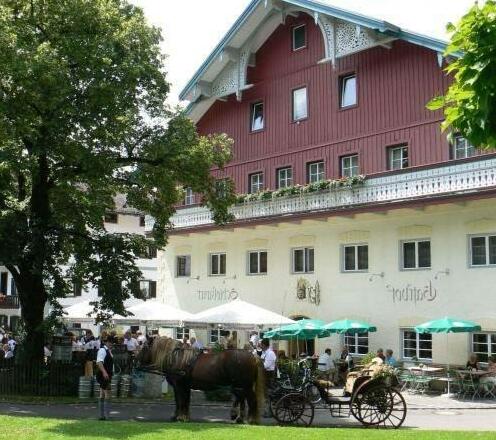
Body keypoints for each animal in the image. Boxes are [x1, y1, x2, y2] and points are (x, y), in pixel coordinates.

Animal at [138, 336, 266, 422]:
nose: (136, 358)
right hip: (240, 386)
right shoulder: (183, 386)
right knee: (242, 399)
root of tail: (252, 356)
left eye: (144, 347)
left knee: (251, 400)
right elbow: (182, 401)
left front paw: (181, 417)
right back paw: (239, 418)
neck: (177, 358)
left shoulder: (179, 385)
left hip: (244, 386)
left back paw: (251, 419)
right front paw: (181, 416)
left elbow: (181, 401)